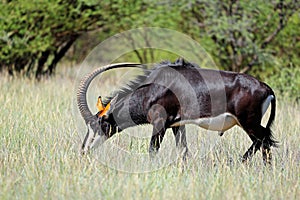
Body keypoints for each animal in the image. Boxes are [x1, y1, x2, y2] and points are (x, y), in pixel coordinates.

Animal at [77, 58, 276, 164]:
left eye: (100, 123)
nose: (84, 151)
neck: (154, 86)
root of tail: (266, 88)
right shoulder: (176, 125)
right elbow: (183, 151)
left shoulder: (160, 123)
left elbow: (152, 150)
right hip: (248, 124)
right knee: (261, 142)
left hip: (249, 122)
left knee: (264, 142)